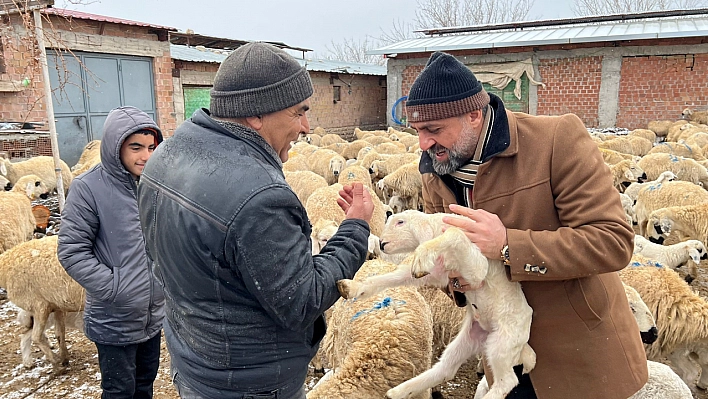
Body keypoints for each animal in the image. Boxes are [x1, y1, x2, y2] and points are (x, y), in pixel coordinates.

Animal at [334, 209, 532, 399]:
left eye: (400, 222)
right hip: (471, 337)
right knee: (446, 368)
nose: (382, 244)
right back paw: (398, 391)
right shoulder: (439, 272)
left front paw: (422, 253)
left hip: (502, 343)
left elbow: (454, 233)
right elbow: (390, 278)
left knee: (507, 381)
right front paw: (353, 287)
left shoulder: (478, 271)